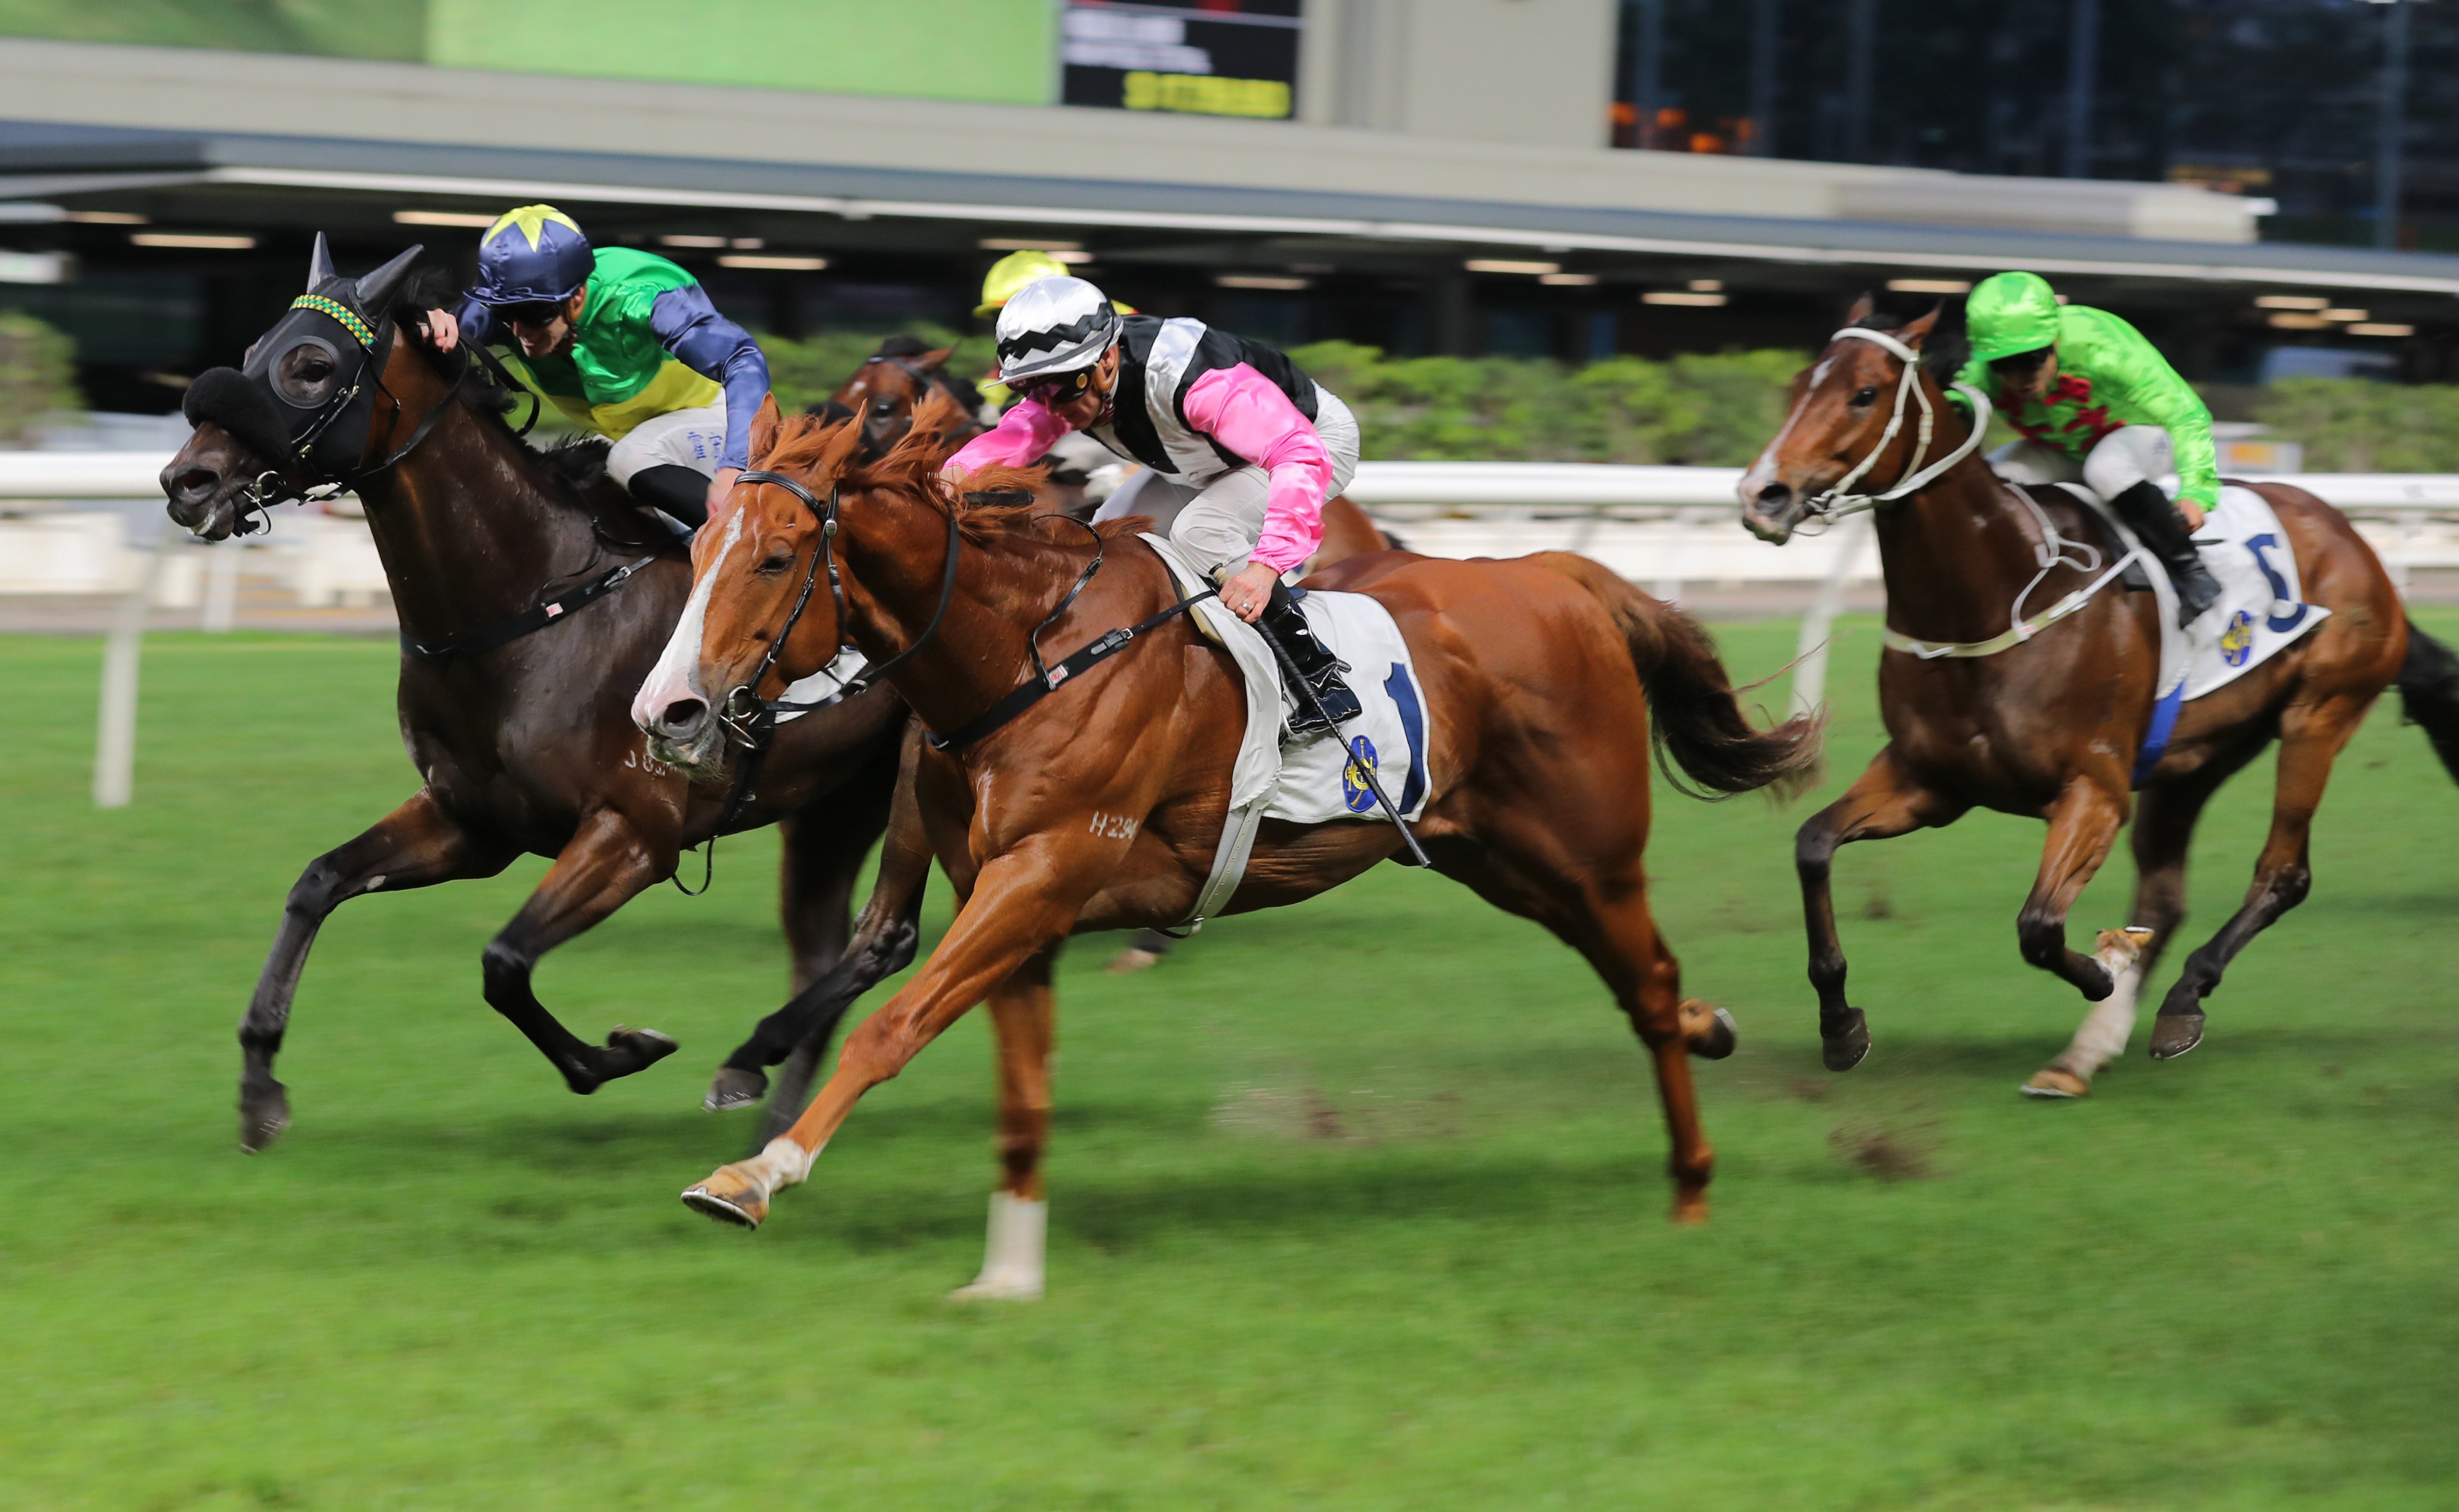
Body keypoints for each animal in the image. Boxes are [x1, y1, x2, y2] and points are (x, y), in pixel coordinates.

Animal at [166, 242, 914, 1155]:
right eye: (251, 352)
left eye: (313, 366)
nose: (185, 480)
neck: (529, 605)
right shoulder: (472, 820)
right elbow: (318, 882)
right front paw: (259, 1082)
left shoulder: (632, 833)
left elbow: (505, 962)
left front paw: (622, 1049)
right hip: (831, 802)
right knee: (830, 943)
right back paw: (772, 1117)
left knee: (888, 937)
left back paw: (752, 1062)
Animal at [634, 396, 1829, 1298]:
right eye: (696, 547)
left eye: (774, 557)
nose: (667, 709)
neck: (1023, 652)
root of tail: (1559, 571)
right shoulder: (1018, 900)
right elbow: (1019, 1093)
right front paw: (1008, 1275)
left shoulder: (1043, 872)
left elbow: (891, 1026)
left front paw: (753, 1174)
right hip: (1502, 858)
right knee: (1646, 986)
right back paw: (1711, 1033)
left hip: (1591, 853)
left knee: (1648, 981)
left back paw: (1692, 1180)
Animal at [1740, 301, 2449, 1096]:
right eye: (1798, 383)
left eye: (1863, 394)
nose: (1762, 494)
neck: (1989, 596)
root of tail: (2356, 541)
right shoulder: (1928, 781)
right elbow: (1812, 845)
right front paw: (1839, 1023)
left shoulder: (2094, 789)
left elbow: (2039, 926)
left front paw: (2106, 968)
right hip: (2192, 760)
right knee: (2166, 896)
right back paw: (2085, 1053)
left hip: (2317, 716)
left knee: (2283, 872)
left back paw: (2181, 998)